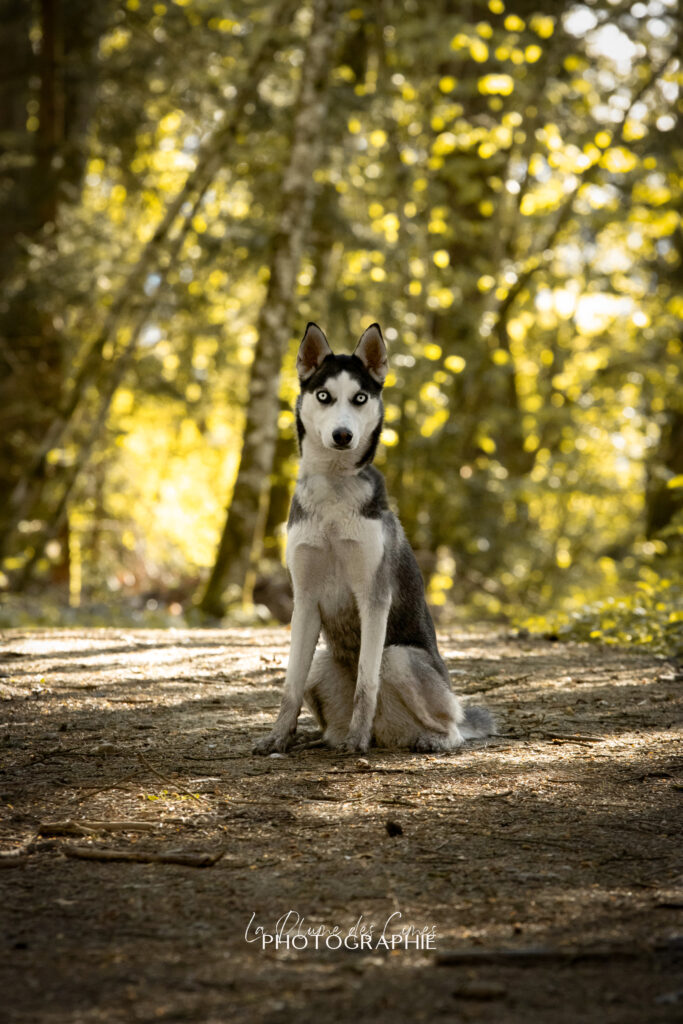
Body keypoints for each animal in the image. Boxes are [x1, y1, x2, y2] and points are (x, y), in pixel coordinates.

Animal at [253, 323, 493, 757]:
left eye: (360, 398)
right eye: (324, 396)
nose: (342, 434)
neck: (334, 492)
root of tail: (389, 734)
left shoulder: (373, 596)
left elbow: (366, 682)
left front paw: (357, 738)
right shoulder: (305, 598)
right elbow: (290, 685)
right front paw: (279, 737)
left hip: (399, 658)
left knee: (451, 725)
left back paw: (422, 739)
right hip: (322, 663)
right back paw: (328, 737)